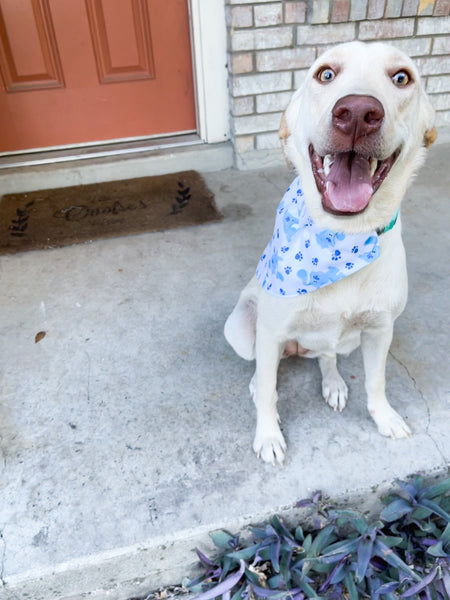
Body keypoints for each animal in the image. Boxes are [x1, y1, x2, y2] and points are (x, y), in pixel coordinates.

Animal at [225, 42, 436, 464]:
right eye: (325, 74)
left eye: (401, 77)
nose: (357, 113)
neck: (341, 238)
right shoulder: (270, 331)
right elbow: (270, 392)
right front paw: (268, 435)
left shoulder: (380, 330)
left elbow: (376, 381)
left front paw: (384, 417)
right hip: (240, 329)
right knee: (263, 366)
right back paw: (259, 382)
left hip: (348, 339)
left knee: (328, 354)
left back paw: (334, 383)